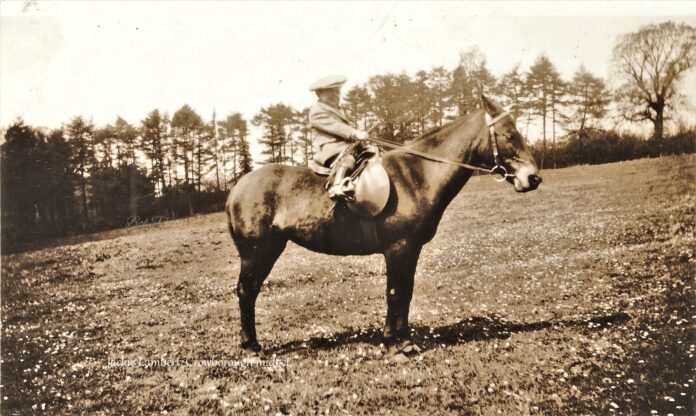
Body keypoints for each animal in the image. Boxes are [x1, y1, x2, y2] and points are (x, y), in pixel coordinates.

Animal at [225, 95, 541, 354]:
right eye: (509, 134)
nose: (533, 178)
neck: (417, 175)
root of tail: (237, 188)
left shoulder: (410, 250)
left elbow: (406, 291)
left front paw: (403, 339)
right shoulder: (399, 247)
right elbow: (395, 292)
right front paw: (394, 343)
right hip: (256, 252)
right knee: (246, 291)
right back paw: (252, 346)